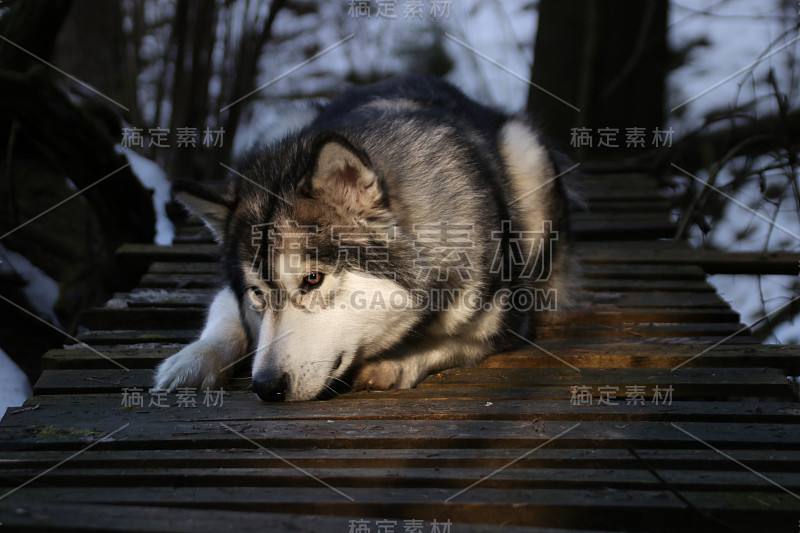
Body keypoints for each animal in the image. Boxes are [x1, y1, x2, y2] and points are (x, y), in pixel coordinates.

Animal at [155, 74, 568, 400]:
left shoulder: (505, 321)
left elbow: (445, 342)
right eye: (257, 292)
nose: (265, 387)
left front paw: (393, 363)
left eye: (313, 279)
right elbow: (225, 315)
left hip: (526, 151)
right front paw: (192, 359)